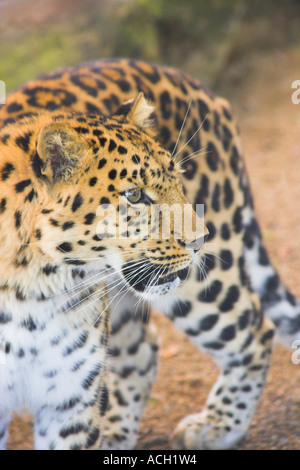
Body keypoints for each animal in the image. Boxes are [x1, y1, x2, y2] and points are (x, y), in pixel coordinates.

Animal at [0, 59, 298, 452]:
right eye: (135, 196)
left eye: (177, 177)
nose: (201, 239)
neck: (36, 286)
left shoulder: (70, 398)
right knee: (142, 349)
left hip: (206, 287)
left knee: (255, 330)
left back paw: (217, 425)